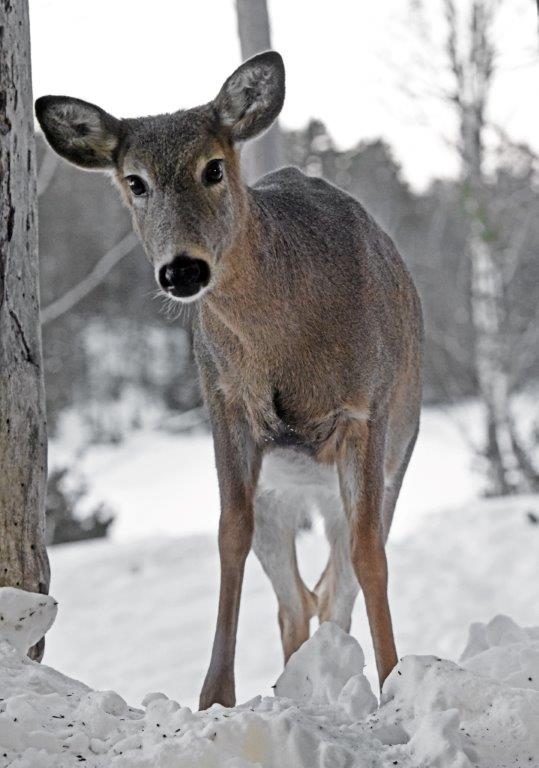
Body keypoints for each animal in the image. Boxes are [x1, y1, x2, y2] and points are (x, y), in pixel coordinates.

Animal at [36, 51, 423, 710]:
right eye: (134, 181)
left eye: (213, 167)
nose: (183, 269)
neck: (286, 343)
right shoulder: (225, 402)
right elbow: (227, 537)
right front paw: (215, 695)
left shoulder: (364, 409)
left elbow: (371, 555)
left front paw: (397, 683)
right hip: (280, 493)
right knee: (299, 600)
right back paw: (298, 687)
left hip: (393, 452)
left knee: (336, 588)